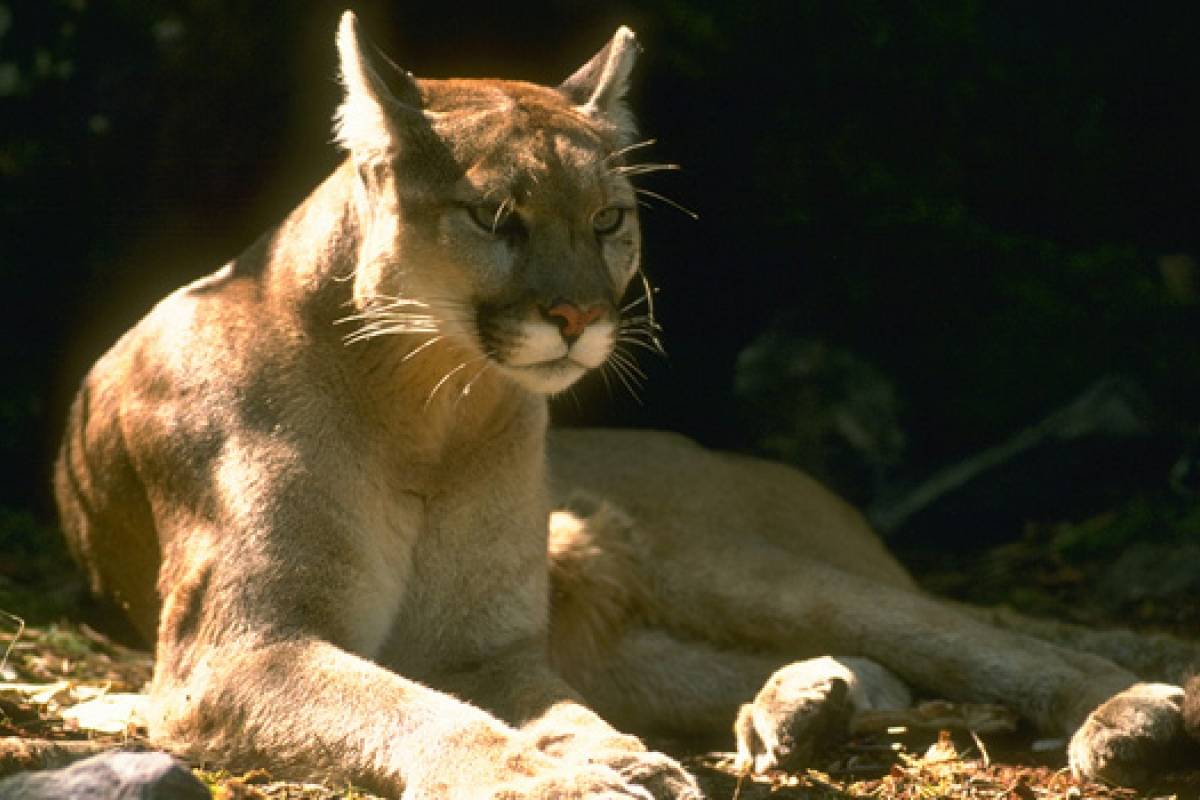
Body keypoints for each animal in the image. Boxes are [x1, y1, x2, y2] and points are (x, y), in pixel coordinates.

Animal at [54, 11, 1199, 798]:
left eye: (608, 219)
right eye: (495, 216)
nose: (578, 314)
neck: (430, 405)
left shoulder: (478, 646)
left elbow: (496, 704)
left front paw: (603, 760)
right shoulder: (240, 648)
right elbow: (422, 710)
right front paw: (575, 773)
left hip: (709, 556)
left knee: (968, 635)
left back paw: (1123, 714)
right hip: (639, 627)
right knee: (863, 670)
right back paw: (801, 710)